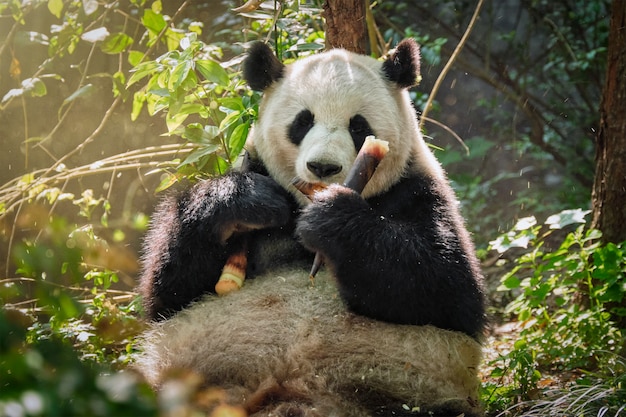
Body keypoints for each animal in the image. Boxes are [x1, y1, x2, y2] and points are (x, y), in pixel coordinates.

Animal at [135, 39, 488, 416]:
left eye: (358, 126)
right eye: (302, 122)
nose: (323, 167)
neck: (302, 205)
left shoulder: (418, 190)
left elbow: (448, 290)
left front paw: (333, 220)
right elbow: (169, 291)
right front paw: (245, 200)